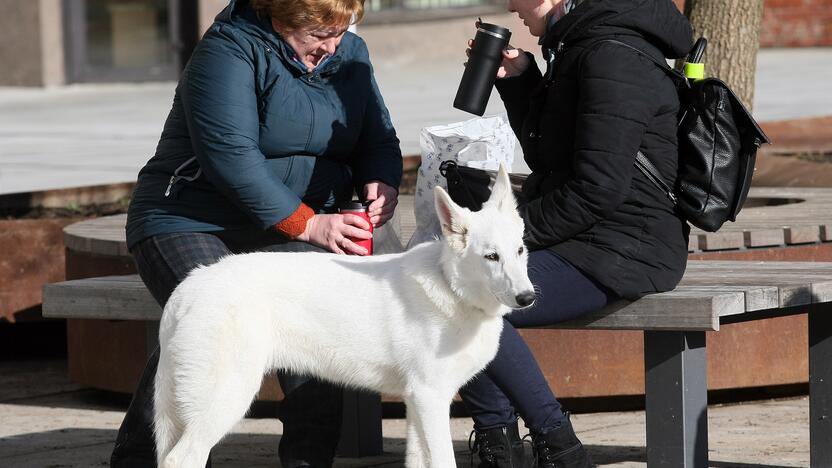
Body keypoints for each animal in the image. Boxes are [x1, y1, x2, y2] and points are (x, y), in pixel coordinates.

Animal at [154, 165, 532, 468]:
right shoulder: (431, 398)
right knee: (178, 459)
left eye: (519, 251)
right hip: (227, 399)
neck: (451, 287)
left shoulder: (416, 403)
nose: (527, 298)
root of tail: (190, 284)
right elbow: (442, 461)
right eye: (491, 257)